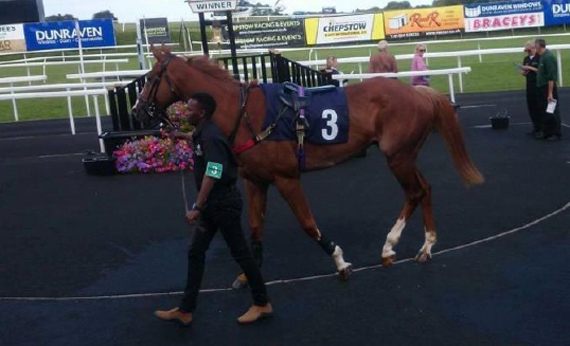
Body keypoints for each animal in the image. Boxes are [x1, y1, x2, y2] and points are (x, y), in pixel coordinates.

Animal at [131, 48, 482, 286]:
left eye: (150, 78)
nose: (137, 111)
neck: (243, 114)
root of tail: (418, 92)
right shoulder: (255, 180)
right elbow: (255, 227)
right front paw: (248, 275)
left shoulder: (286, 177)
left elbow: (307, 223)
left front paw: (340, 261)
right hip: (406, 156)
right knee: (425, 189)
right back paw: (426, 246)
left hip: (398, 156)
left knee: (414, 193)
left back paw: (389, 247)